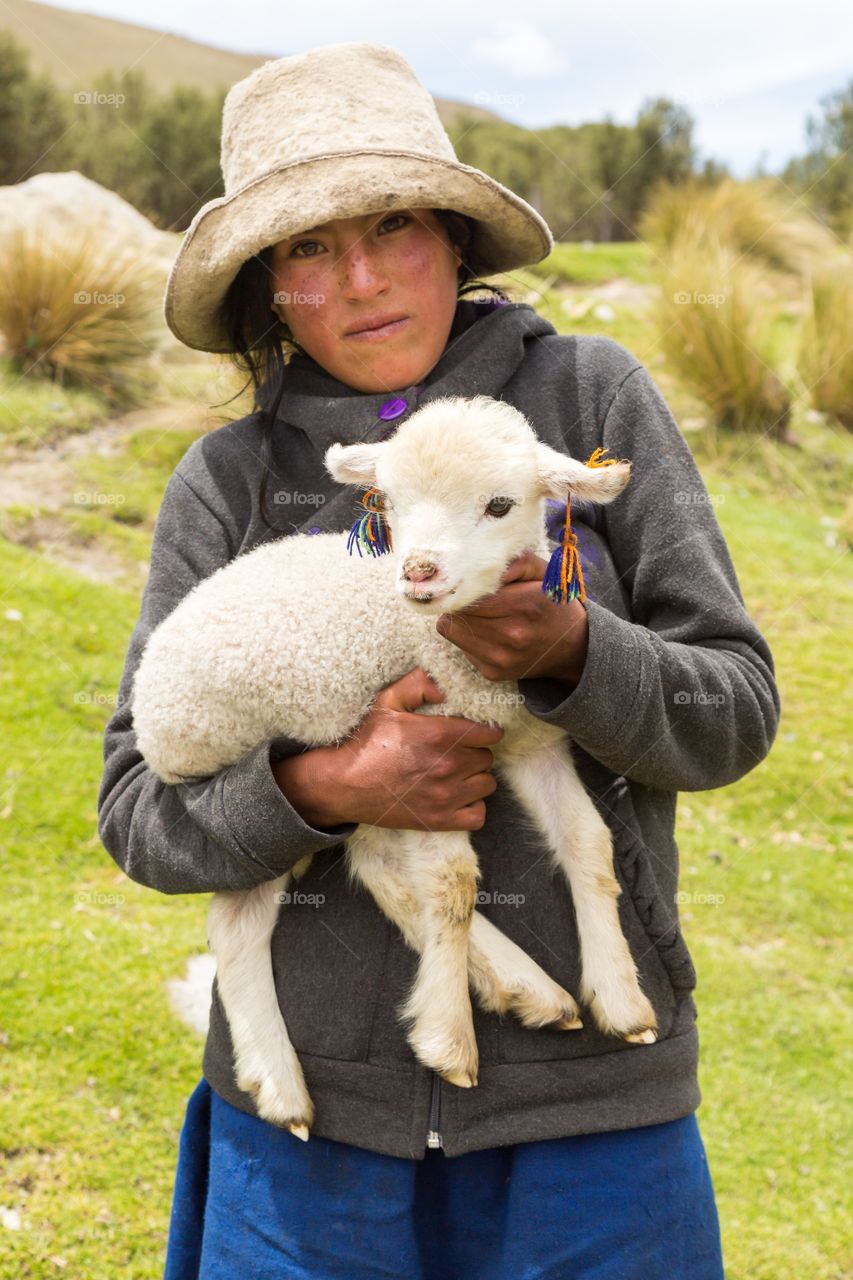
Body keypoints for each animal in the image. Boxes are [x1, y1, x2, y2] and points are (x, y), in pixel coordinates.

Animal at [131, 393, 658, 1140]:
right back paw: (281, 1084)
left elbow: (589, 844)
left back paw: (522, 986)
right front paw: (449, 1042)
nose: (418, 572)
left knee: (379, 870)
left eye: (499, 505)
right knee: (240, 925)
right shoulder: (428, 752)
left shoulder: (526, 740)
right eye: (392, 502)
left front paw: (620, 997)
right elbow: (454, 884)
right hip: (244, 752)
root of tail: (147, 690)